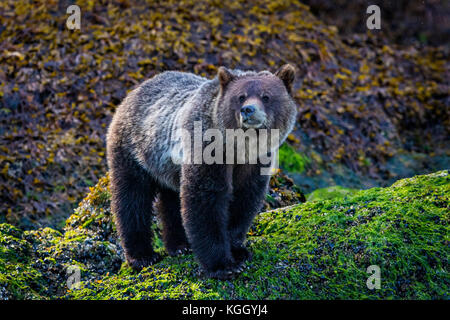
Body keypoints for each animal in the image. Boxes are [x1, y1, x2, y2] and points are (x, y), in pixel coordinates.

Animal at [107, 64, 298, 278]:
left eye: (266, 96)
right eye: (241, 96)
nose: (248, 110)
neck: (238, 148)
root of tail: (132, 93)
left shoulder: (254, 163)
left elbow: (244, 200)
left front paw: (238, 251)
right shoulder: (207, 148)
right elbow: (206, 199)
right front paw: (223, 265)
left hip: (170, 167)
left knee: (172, 200)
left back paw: (179, 245)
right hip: (134, 151)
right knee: (132, 198)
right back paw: (142, 256)